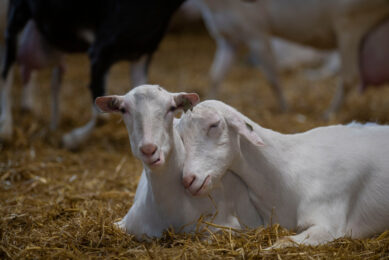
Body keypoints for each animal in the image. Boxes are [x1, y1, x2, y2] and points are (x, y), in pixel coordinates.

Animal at [197, 0, 388, 117]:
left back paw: (327, 115)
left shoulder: (257, 33)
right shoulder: (227, 37)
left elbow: (273, 79)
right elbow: (214, 76)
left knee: (349, 77)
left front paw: (285, 110)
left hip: (350, 23)